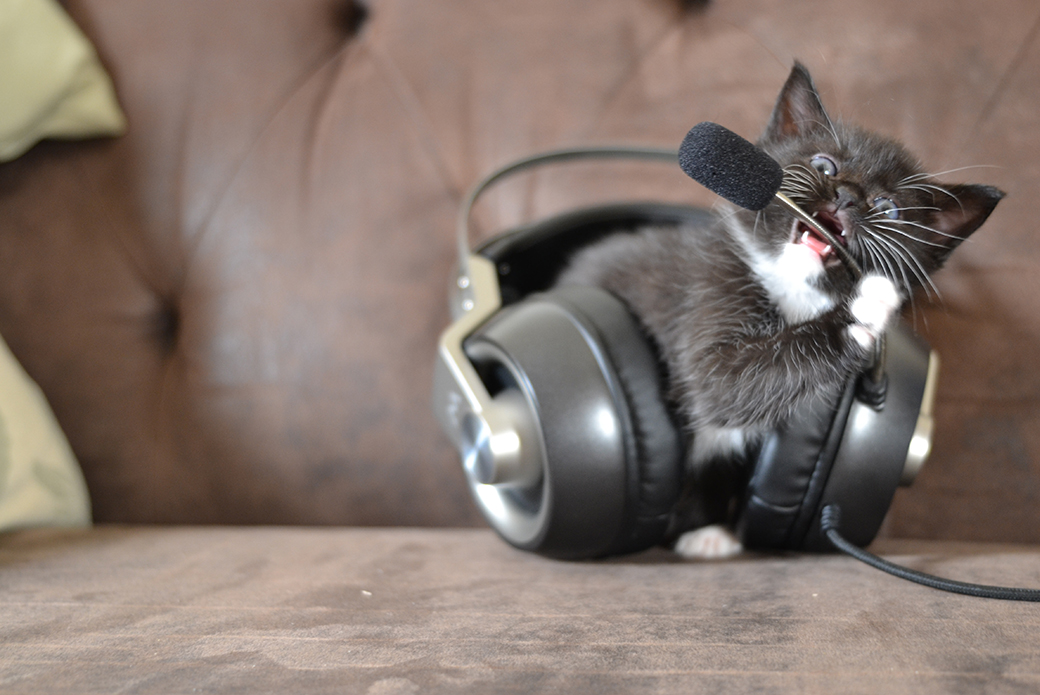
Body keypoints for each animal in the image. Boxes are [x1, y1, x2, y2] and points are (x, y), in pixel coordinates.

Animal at [557, 61, 1002, 557]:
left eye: (889, 209)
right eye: (824, 165)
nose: (846, 195)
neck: (793, 290)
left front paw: (711, 530)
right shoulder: (704, 287)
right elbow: (717, 382)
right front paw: (861, 312)